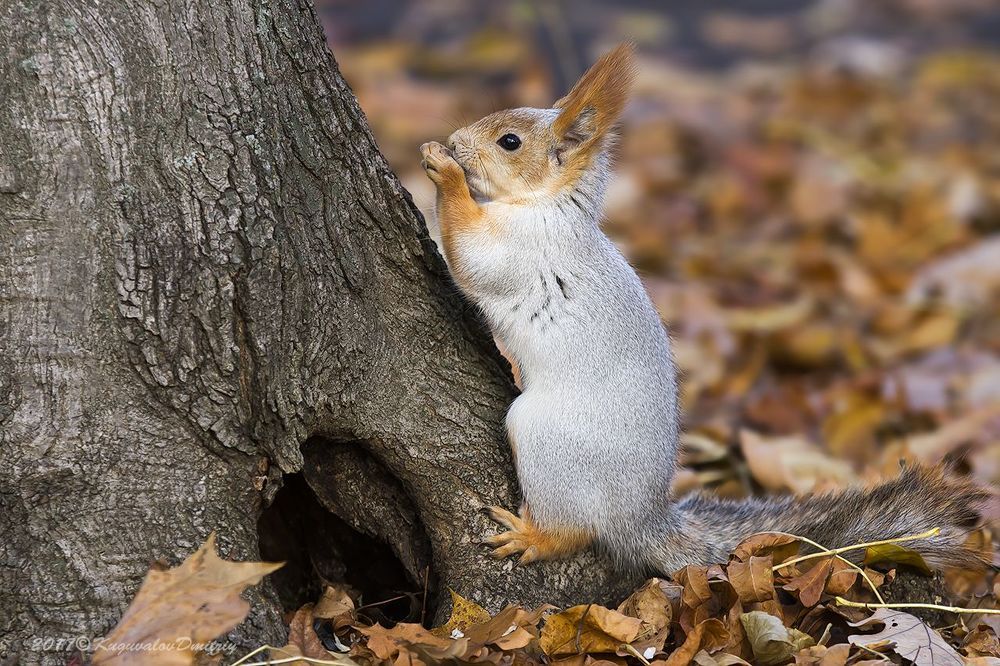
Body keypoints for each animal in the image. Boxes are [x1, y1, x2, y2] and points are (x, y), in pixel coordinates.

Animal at [419, 43, 989, 575]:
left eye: (509, 142)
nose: (456, 140)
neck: (549, 205)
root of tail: (641, 518)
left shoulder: (525, 249)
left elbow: (473, 257)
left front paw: (443, 171)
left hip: (549, 442)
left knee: (575, 530)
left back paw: (533, 536)